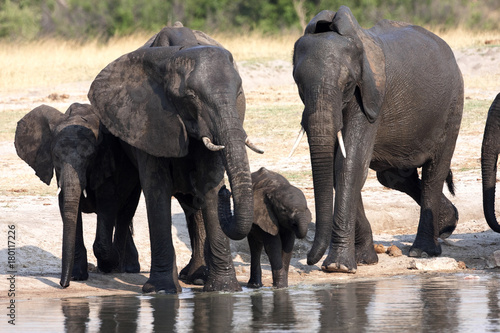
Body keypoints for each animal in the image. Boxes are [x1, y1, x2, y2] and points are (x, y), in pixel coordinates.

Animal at [15, 102, 141, 286]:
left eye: (91, 157)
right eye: (56, 157)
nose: (63, 284)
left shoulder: (106, 161)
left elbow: (107, 203)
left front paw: (108, 265)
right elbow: (65, 203)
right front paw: (77, 276)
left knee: (126, 212)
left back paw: (123, 267)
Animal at [87, 25, 258, 294]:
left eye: (239, 92)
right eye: (191, 97)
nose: (227, 192)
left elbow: (208, 185)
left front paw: (223, 290)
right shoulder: (147, 120)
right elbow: (157, 188)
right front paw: (161, 291)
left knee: (193, 204)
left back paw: (196, 277)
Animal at [292, 6, 464, 274]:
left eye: (348, 84)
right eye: (298, 84)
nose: (310, 261)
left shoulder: (371, 99)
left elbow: (349, 165)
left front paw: (338, 267)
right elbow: (340, 167)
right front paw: (364, 259)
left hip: (453, 105)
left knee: (434, 172)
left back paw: (423, 251)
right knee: (394, 176)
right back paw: (447, 224)